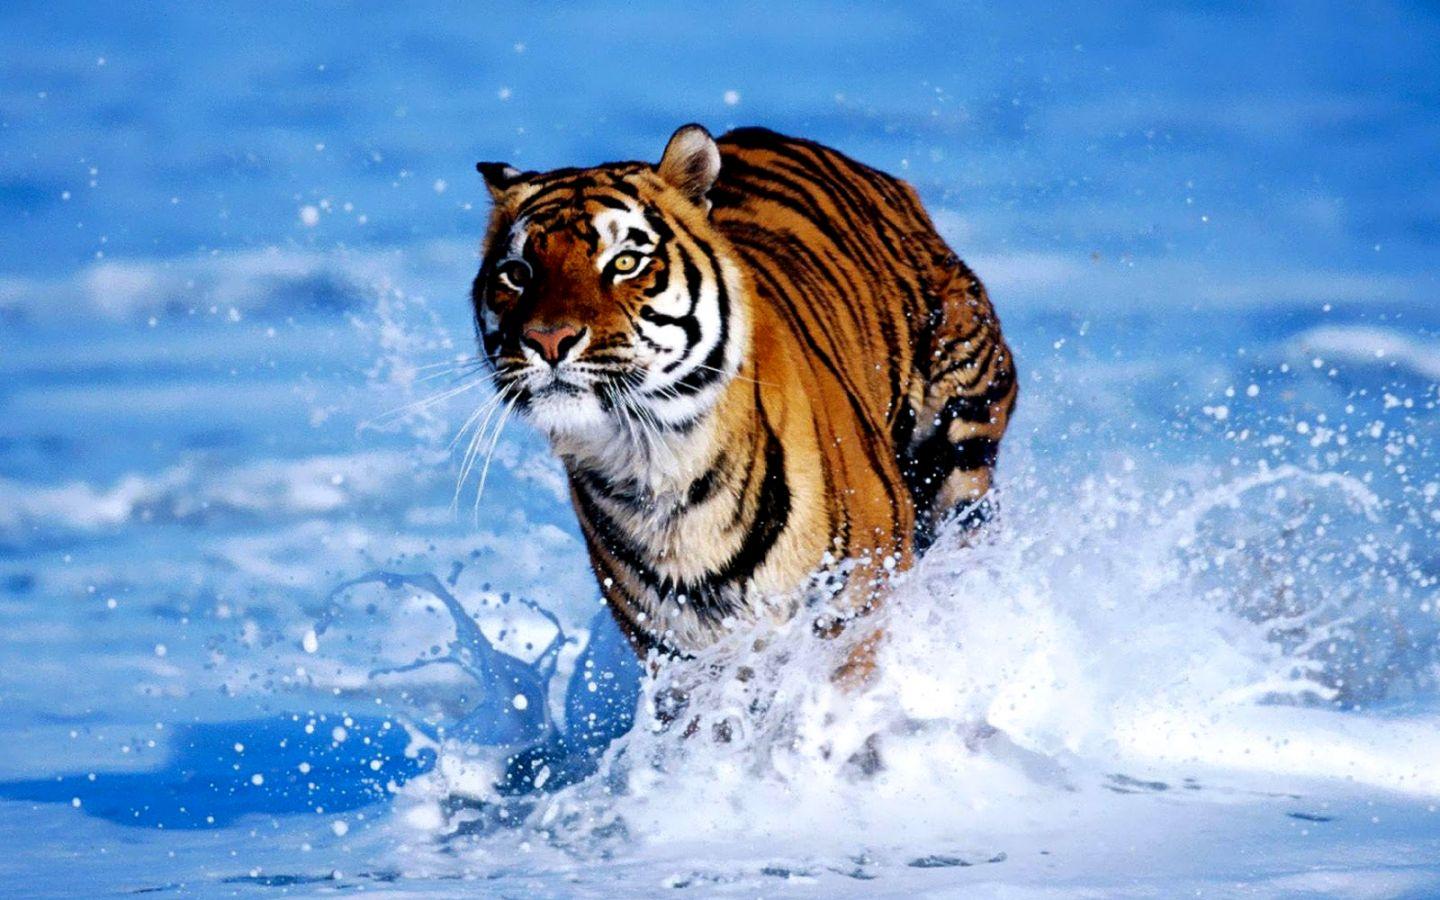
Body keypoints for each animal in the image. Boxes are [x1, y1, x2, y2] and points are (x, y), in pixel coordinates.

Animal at [470, 124, 1016, 679]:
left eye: (625, 262)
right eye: (517, 272)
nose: (547, 340)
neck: (656, 466)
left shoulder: (857, 607)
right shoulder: (678, 657)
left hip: (959, 447)